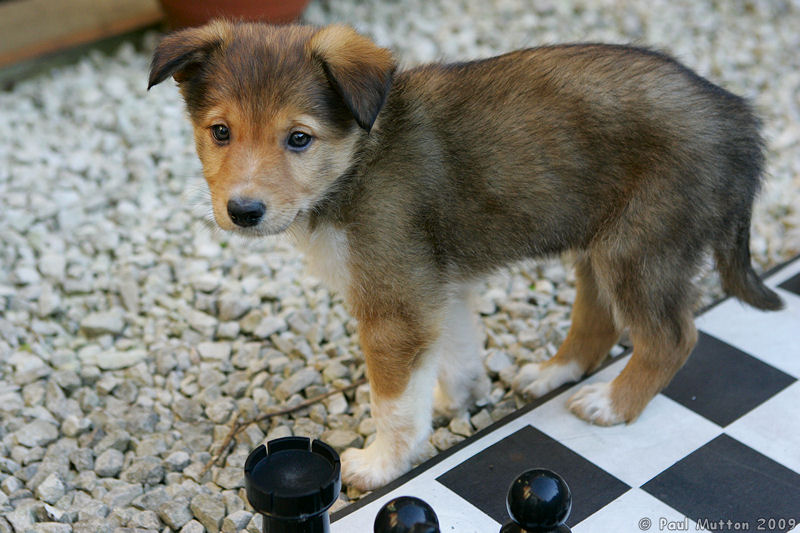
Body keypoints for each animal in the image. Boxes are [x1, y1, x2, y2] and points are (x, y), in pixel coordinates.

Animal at [148, 20, 780, 488]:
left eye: (299, 138)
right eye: (220, 132)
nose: (243, 211)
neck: (358, 160)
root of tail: (736, 119)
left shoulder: (396, 304)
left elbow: (393, 402)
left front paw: (381, 464)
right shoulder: (433, 287)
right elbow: (456, 352)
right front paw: (462, 401)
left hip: (642, 246)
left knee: (672, 337)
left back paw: (612, 405)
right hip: (601, 240)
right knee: (599, 319)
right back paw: (555, 373)